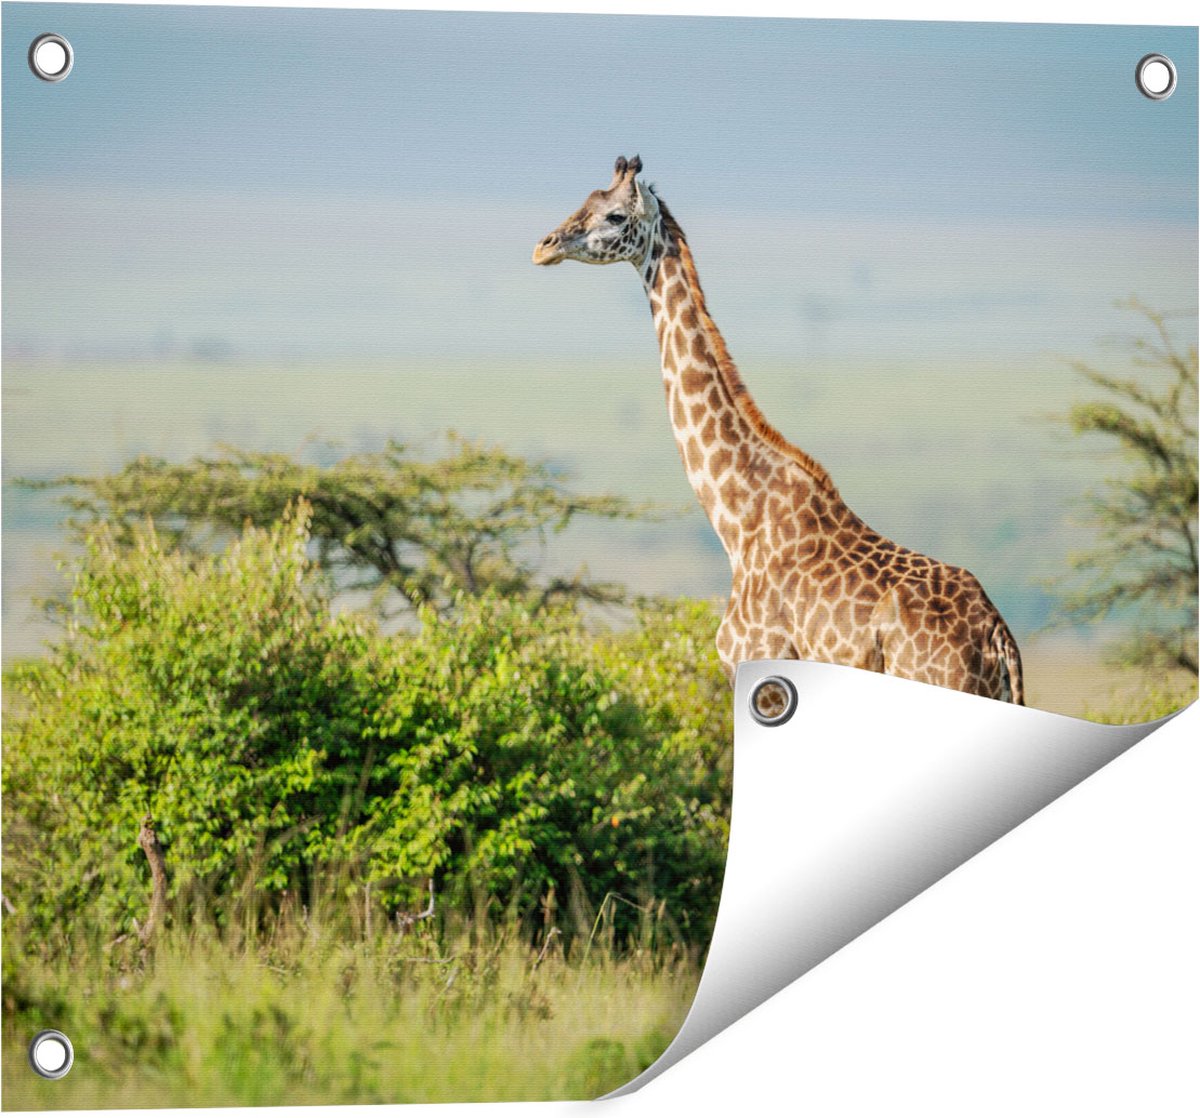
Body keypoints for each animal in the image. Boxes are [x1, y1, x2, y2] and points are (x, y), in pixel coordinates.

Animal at [533, 156, 1024, 703]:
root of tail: (999, 637)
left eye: (615, 216)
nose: (544, 246)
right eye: (585, 201)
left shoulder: (757, 667)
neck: (737, 518)